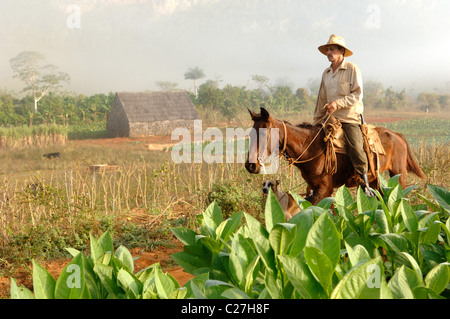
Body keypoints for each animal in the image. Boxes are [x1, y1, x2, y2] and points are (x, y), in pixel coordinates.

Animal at [244, 109, 428, 206]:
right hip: (374, 179)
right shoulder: (318, 189)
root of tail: (397, 135)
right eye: (251, 134)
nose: (250, 166)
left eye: (263, 133)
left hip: (398, 175)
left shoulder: (324, 189)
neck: (309, 147)